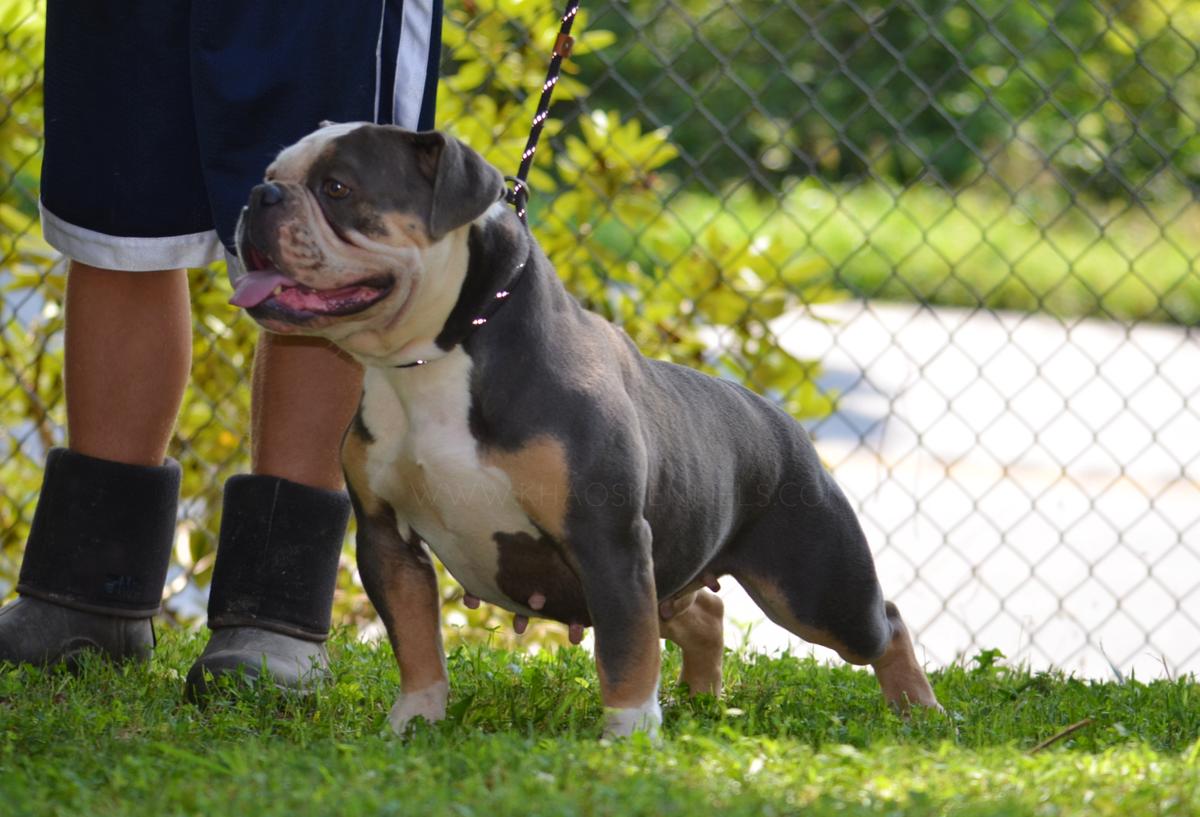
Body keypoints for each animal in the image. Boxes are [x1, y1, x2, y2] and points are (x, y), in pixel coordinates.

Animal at [231, 122, 936, 739]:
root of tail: (779, 418)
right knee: (701, 612)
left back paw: (919, 711)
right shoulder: (387, 540)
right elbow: (416, 642)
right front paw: (413, 723)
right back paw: (702, 697)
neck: (442, 354)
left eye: (338, 189)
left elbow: (624, 654)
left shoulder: (607, 541)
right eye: (269, 174)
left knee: (885, 623)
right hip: (678, 575)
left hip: (813, 592)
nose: (258, 197)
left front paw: (626, 737)